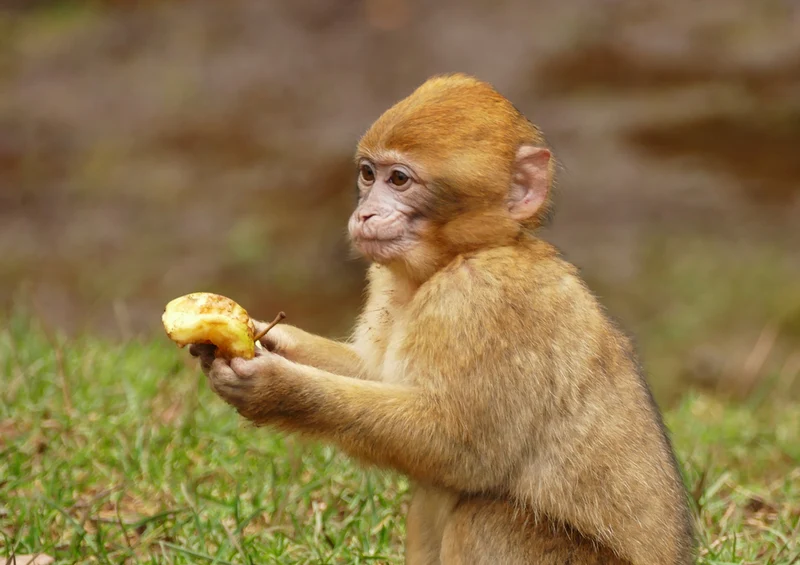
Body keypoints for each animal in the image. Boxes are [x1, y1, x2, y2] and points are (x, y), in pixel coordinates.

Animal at [190, 74, 695, 565]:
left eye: (399, 179)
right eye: (368, 174)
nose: (364, 213)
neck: (463, 254)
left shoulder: (482, 298)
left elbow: (460, 450)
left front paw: (276, 388)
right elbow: (375, 375)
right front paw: (264, 339)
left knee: (483, 517)